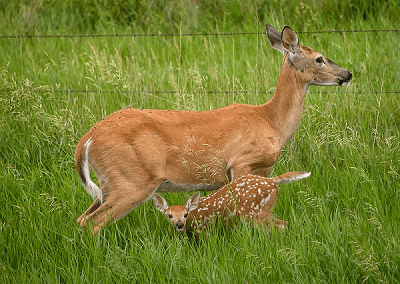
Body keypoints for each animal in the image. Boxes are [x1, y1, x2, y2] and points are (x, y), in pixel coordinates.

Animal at [152, 172, 310, 234]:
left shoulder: (203, 229)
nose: (179, 224)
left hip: (251, 212)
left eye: (185, 214)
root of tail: (272, 181)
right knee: (284, 223)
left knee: (278, 228)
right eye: (169, 215)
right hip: (265, 210)